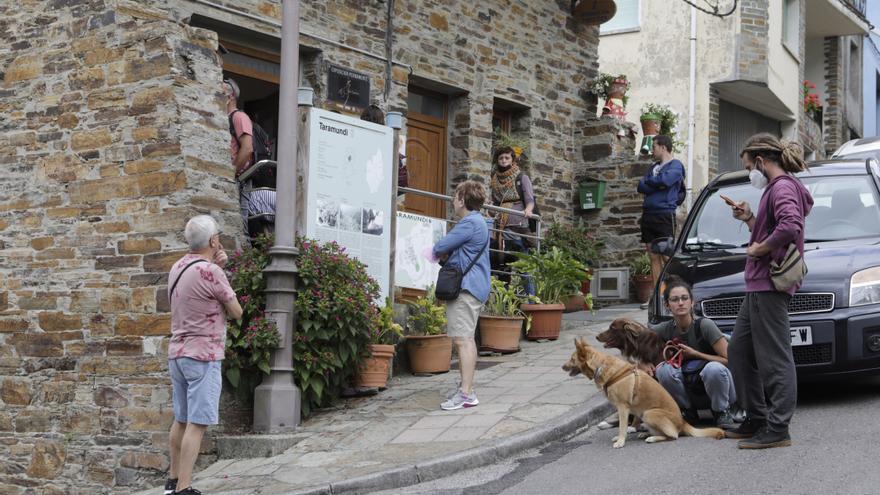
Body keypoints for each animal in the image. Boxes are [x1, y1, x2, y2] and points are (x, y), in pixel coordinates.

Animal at [564, 340, 720, 448]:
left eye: (572, 359)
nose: (562, 367)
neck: (601, 366)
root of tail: (683, 422)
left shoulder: (623, 408)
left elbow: (622, 427)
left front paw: (621, 441)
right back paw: (645, 433)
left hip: (649, 413)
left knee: (673, 436)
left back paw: (651, 438)